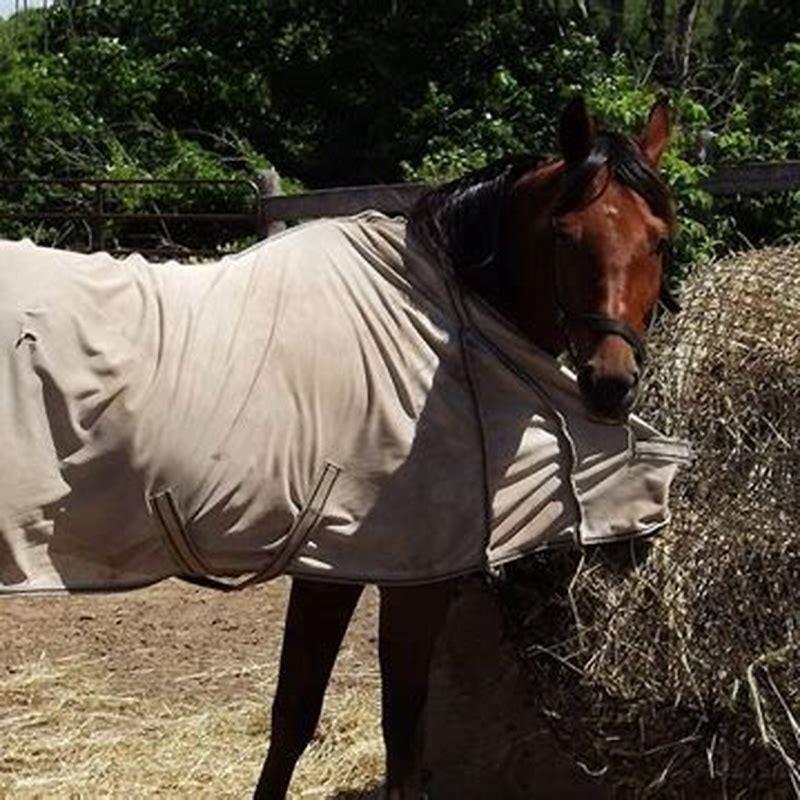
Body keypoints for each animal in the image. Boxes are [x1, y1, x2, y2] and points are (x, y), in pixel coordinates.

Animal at [255, 96, 677, 799]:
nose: (610, 384)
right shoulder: (381, 579)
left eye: (659, 239)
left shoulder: (357, 573)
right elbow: (374, 726)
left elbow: (329, 718)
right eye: (565, 235)